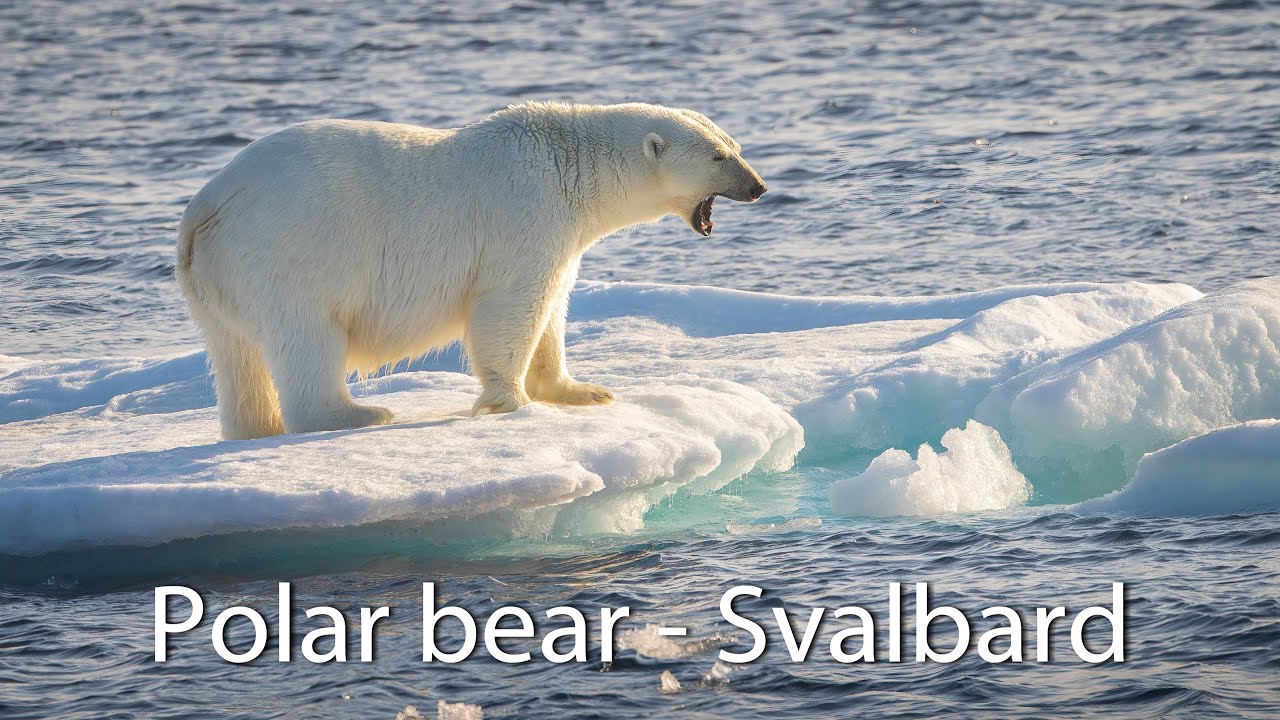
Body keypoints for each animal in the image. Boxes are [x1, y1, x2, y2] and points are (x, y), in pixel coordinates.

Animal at [175, 101, 767, 440]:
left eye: (734, 145)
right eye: (718, 157)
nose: (758, 186)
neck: (566, 162)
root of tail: (207, 203)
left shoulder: (563, 233)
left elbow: (553, 307)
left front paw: (584, 391)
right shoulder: (525, 212)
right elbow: (513, 305)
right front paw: (512, 402)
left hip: (216, 276)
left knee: (236, 356)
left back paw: (256, 429)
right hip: (288, 250)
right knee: (306, 337)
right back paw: (358, 415)